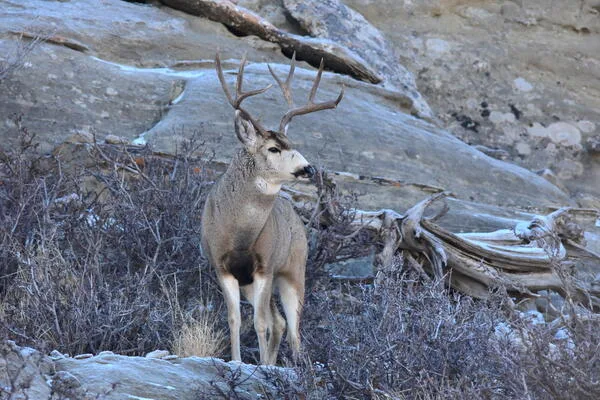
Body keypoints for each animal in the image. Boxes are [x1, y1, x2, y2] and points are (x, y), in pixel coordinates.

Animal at [200, 54, 342, 366]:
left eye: (292, 144)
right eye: (274, 148)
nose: (308, 168)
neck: (239, 234)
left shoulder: (265, 266)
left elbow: (260, 323)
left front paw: (262, 367)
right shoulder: (222, 267)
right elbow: (235, 319)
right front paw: (238, 362)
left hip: (294, 270)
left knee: (292, 327)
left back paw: (297, 368)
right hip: (254, 282)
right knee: (279, 322)